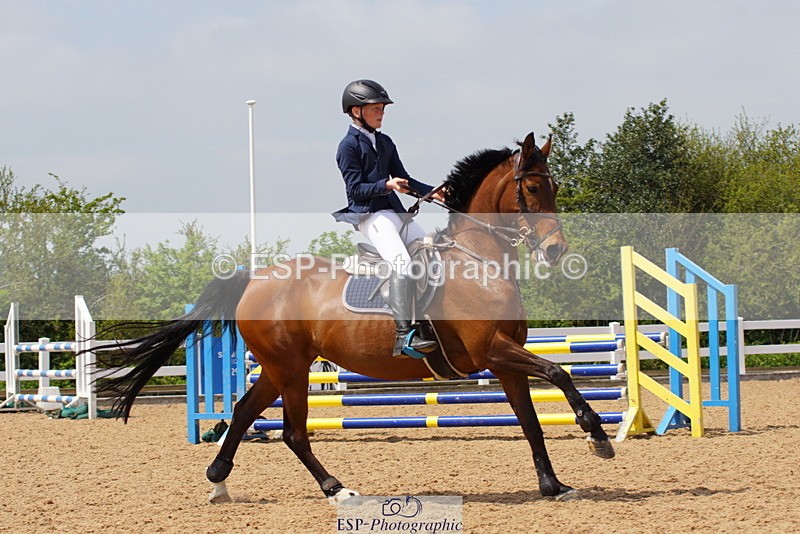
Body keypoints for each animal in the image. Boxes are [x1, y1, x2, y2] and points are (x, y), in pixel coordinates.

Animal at [92, 132, 615, 504]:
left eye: (555, 187)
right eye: (533, 186)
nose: (556, 251)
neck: (480, 261)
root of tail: (256, 279)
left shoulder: (506, 362)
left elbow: (530, 420)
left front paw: (553, 485)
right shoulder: (493, 352)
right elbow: (559, 372)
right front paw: (597, 437)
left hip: (281, 368)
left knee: (243, 414)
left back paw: (219, 483)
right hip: (290, 368)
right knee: (293, 432)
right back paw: (336, 489)